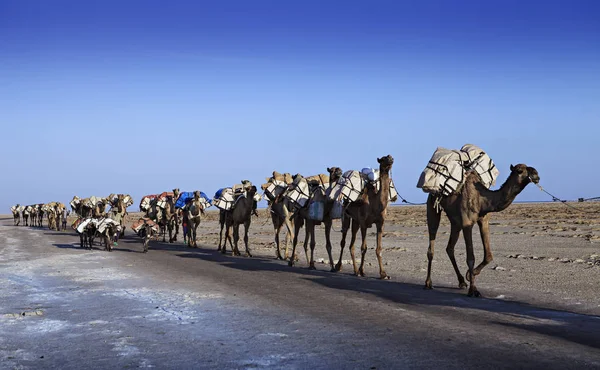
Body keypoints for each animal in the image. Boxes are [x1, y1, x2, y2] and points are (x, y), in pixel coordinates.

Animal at [424, 163, 540, 296]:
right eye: (520, 171)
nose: (536, 175)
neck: (482, 200)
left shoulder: (484, 221)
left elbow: (488, 256)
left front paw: (470, 275)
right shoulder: (467, 223)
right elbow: (470, 258)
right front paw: (473, 289)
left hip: (455, 221)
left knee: (450, 248)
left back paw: (461, 282)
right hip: (432, 206)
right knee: (432, 244)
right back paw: (428, 283)